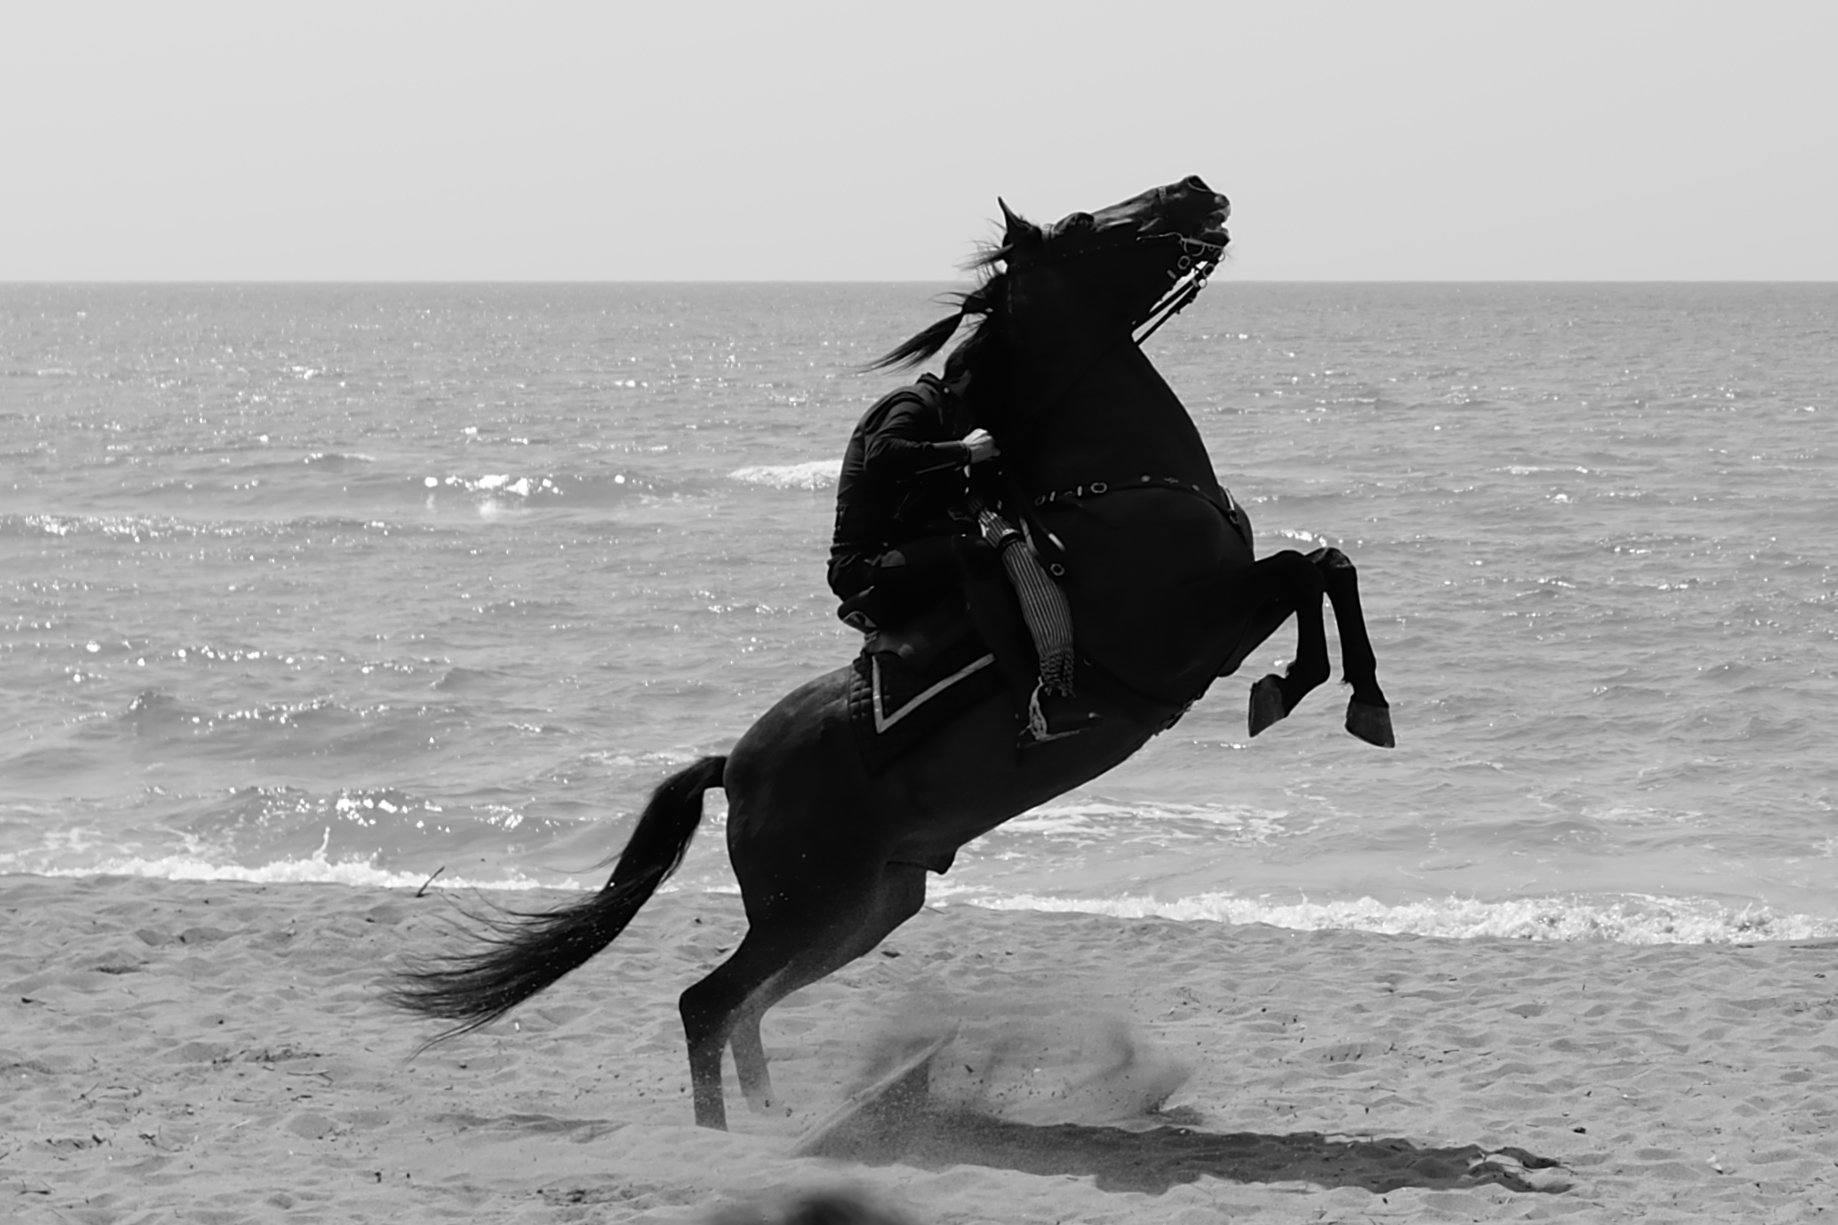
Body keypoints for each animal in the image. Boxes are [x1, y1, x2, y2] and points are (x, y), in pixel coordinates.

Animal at [387, 175, 1394, 1131]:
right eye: (1082, 222)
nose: (1196, 189)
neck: (1107, 482)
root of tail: (733, 765)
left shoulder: (1211, 627)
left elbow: (1323, 563)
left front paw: (1335, 690)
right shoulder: (1183, 635)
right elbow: (1311, 570)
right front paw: (1328, 692)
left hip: (865, 908)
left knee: (745, 1005)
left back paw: (780, 1113)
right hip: (811, 903)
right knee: (707, 1001)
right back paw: (735, 1139)